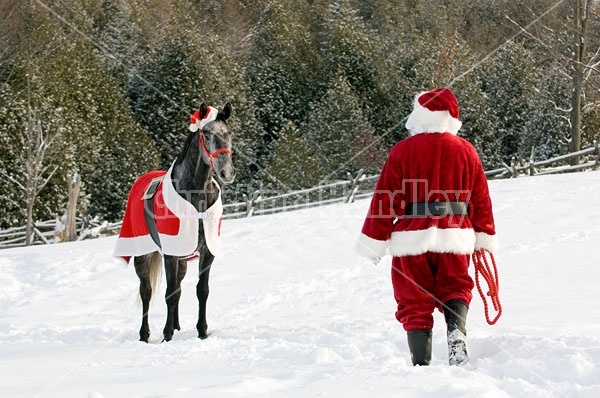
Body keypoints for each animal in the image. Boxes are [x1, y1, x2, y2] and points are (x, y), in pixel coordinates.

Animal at [113, 102, 236, 342]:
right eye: (207, 134)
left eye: (228, 133)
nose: (227, 172)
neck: (195, 195)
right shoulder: (170, 253)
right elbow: (169, 294)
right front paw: (166, 335)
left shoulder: (206, 250)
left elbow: (201, 290)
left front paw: (202, 331)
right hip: (143, 253)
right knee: (147, 291)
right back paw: (145, 334)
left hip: (182, 259)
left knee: (177, 287)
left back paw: (177, 326)